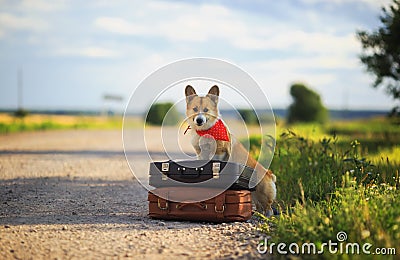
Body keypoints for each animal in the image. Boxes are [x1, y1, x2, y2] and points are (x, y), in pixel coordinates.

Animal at [185, 85, 276, 215]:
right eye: (195, 109)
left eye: (206, 110)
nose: (199, 120)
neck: (205, 131)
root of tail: (270, 174)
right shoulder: (200, 154)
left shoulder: (220, 153)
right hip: (254, 195)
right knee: (259, 206)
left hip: (262, 194)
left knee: (269, 208)